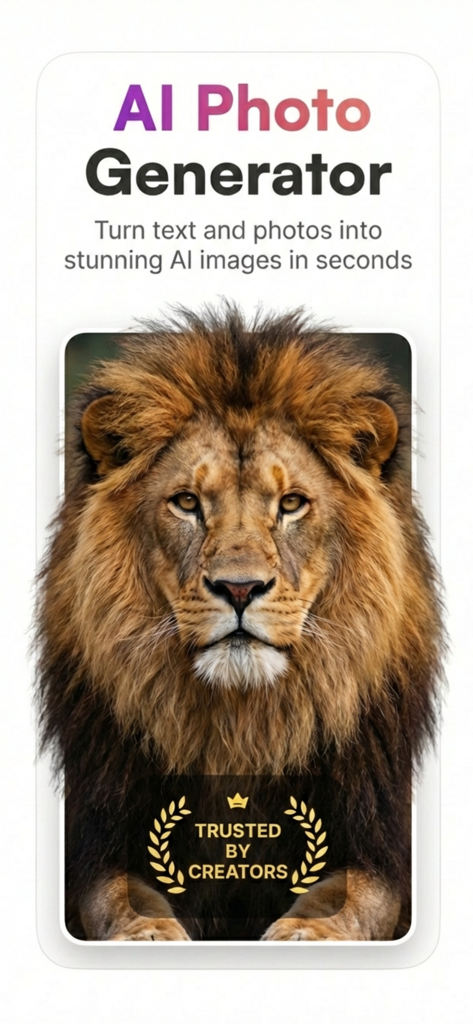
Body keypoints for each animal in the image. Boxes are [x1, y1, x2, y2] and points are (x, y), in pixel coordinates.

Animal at [37, 307, 443, 942]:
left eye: (292, 503)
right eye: (186, 502)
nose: (239, 589)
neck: (244, 730)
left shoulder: (380, 839)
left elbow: (353, 895)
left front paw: (308, 934)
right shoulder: (98, 835)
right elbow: (119, 895)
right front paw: (147, 933)